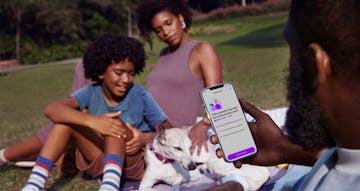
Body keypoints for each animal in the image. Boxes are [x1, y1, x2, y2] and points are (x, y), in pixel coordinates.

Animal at [139, 124, 270, 191]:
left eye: (189, 147)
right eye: (177, 148)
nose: (192, 167)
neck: (166, 162)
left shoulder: (192, 175)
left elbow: (175, 182)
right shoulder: (144, 186)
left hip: (212, 161)